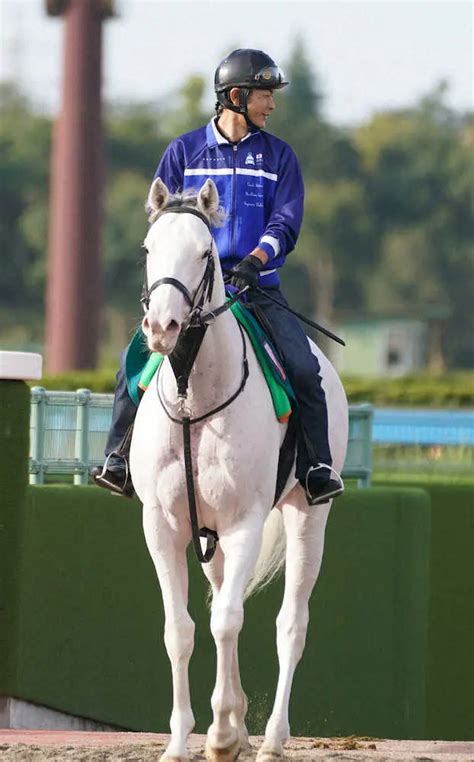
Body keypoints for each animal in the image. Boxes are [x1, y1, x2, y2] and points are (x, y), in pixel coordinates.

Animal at [130, 178, 348, 760]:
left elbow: (229, 620)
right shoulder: (163, 525)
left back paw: (269, 737)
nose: (163, 326)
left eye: (204, 254)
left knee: (290, 624)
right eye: (148, 249)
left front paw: (224, 735)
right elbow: (180, 630)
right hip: (211, 538)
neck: (193, 399)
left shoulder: (245, 521)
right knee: (220, 600)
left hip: (306, 516)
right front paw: (184, 740)